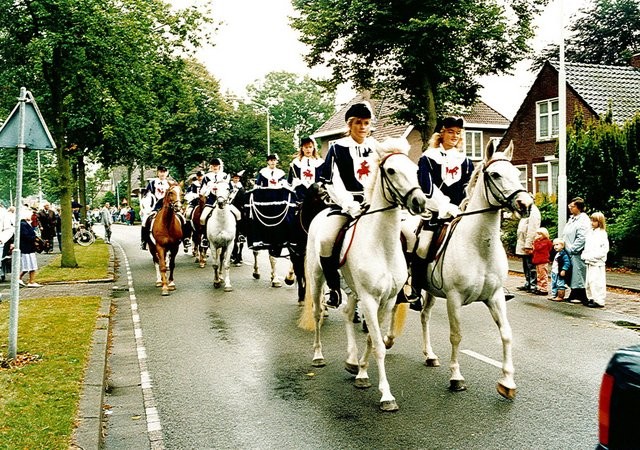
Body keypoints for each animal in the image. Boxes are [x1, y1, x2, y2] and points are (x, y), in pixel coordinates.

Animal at [299, 137, 427, 411]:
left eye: (414, 169)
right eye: (391, 170)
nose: (419, 203)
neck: (382, 245)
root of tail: (322, 212)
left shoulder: (387, 301)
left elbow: (371, 337)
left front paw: (361, 373)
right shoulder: (369, 299)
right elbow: (378, 344)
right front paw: (386, 395)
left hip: (352, 289)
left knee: (348, 314)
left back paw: (351, 360)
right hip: (317, 278)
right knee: (317, 313)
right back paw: (318, 355)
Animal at [386, 141, 533, 400]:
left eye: (517, 173)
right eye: (496, 174)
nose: (525, 205)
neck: (479, 248)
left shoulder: (495, 297)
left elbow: (506, 334)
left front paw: (507, 381)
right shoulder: (454, 299)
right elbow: (456, 336)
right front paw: (456, 377)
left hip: (430, 290)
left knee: (424, 316)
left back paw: (430, 355)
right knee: (395, 307)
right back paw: (388, 340)